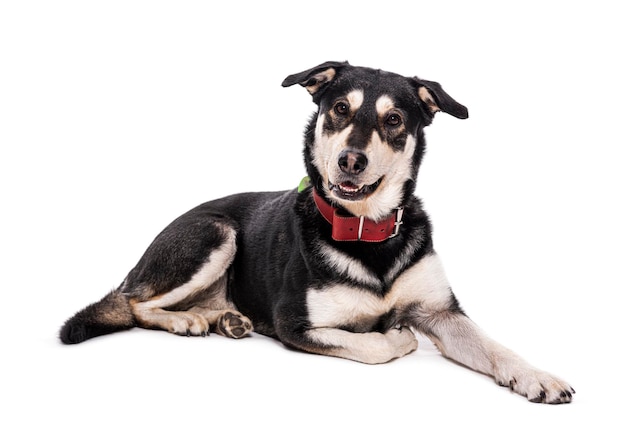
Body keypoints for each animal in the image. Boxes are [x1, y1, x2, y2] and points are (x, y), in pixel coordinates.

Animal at [61, 61, 572, 404]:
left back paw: (223, 318)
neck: (366, 229)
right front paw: (396, 339)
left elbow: (494, 346)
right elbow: (371, 345)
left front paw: (537, 376)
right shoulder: (297, 324)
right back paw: (185, 320)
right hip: (215, 233)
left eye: (394, 120)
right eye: (340, 109)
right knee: (135, 303)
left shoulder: (441, 312)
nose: (351, 160)